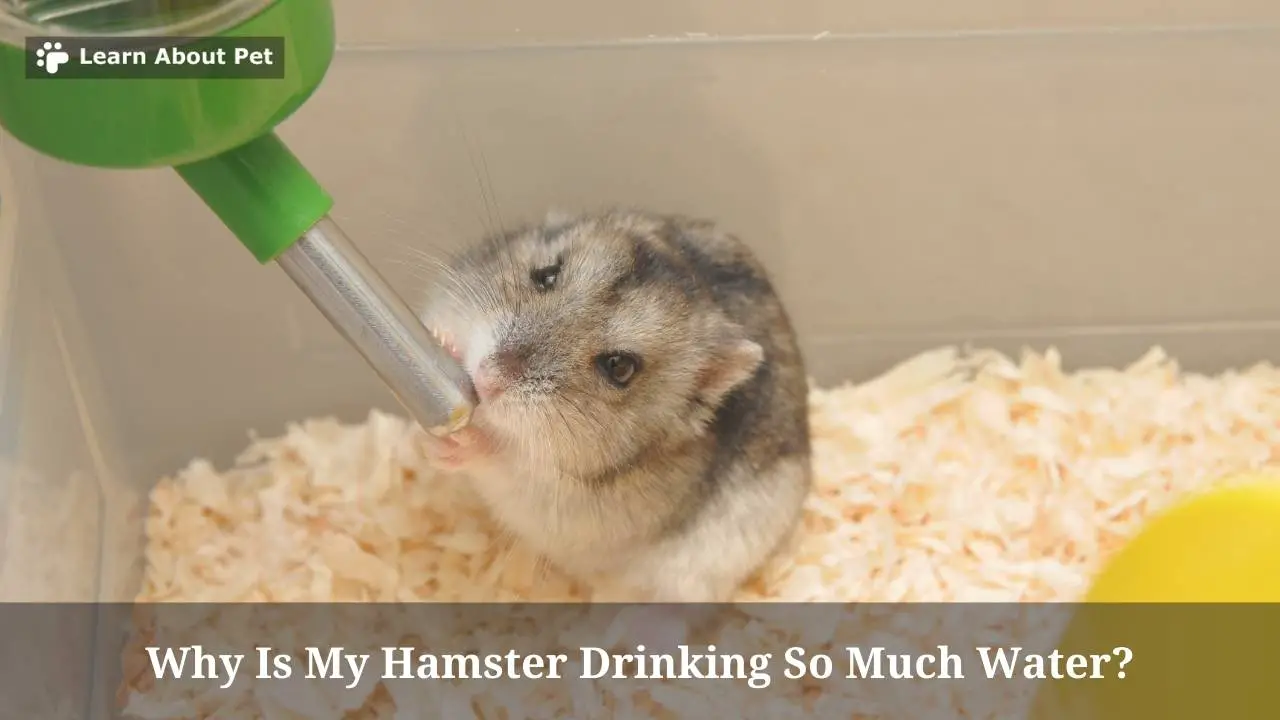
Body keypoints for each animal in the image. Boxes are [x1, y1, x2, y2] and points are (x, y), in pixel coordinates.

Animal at [416, 208, 812, 607]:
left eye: (620, 367)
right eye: (546, 275)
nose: (486, 379)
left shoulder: (563, 501)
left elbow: (505, 462)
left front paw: (458, 444)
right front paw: (444, 342)